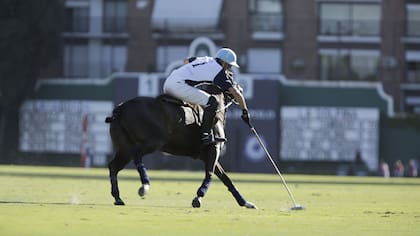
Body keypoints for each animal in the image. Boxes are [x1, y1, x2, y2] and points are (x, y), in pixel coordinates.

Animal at [105, 84, 256, 208]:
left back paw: (118, 197)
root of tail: (120, 108)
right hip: (154, 141)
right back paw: (145, 185)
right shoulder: (215, 148)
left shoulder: (206, 155)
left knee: (113, 166)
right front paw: (198, 197)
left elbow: (226, 178)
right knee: (136, 156)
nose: (241, 90)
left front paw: (245, 202)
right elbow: (210, 173)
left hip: (124, 149)